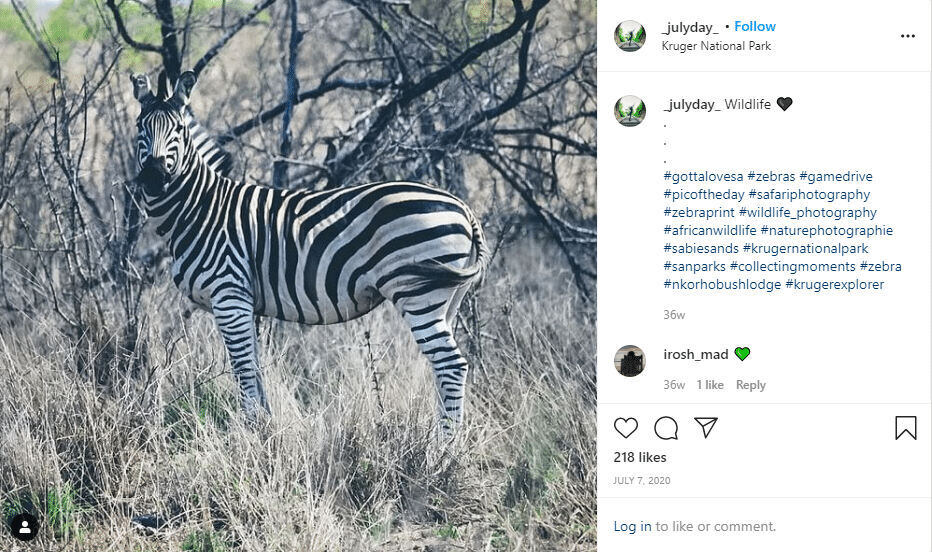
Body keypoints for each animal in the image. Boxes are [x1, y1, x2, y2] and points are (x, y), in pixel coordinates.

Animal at [131, 70, 489, 435]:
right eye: (139, 126)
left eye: (178, 129)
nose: (154, 177)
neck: (201, 208)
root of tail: (462, 208)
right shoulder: (246, 302)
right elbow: (256, 370)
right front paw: (266, 429)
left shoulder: (229, 294)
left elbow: (243, 370)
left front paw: (249, 430)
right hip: (448, 298)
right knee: (442, 366)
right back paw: (437, 438)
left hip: (417, 293)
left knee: (451, 365)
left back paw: (442, 446)